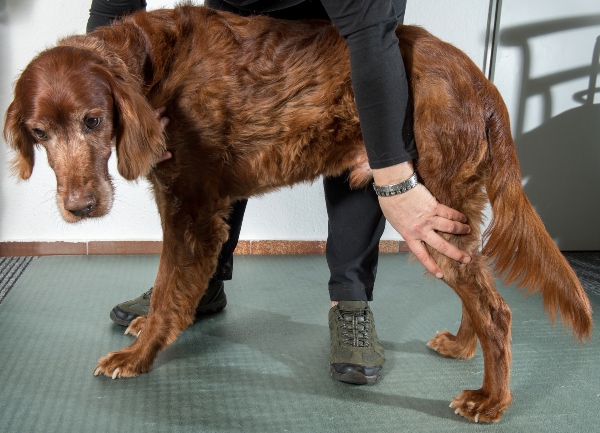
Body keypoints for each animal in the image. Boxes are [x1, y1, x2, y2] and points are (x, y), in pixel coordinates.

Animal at [3, 3, 596, 422]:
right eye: (39, 132)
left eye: (94, 120)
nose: (80, 207)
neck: (149, 67)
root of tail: (480, 79)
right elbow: (174, 288)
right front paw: (150, 322)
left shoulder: (191, 209)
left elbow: (171, 284)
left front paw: (140, 355)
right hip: (452, 213)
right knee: (481, 290)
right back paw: (462, 345)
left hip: (432, 207)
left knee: (497, 310)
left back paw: (491, 400)